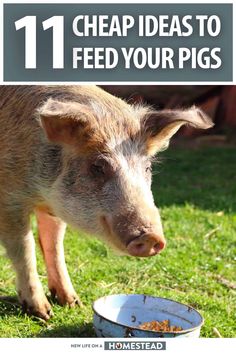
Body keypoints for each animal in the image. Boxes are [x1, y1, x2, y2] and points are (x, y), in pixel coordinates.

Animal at [0, 86, 212, 320]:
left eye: (147, 168)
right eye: (98, 167)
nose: (151, 236)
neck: (41, 193)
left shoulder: (53, 207)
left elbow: (53, 245)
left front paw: (74, 304)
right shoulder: (9, 199)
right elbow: (24, 249)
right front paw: (44, 315)